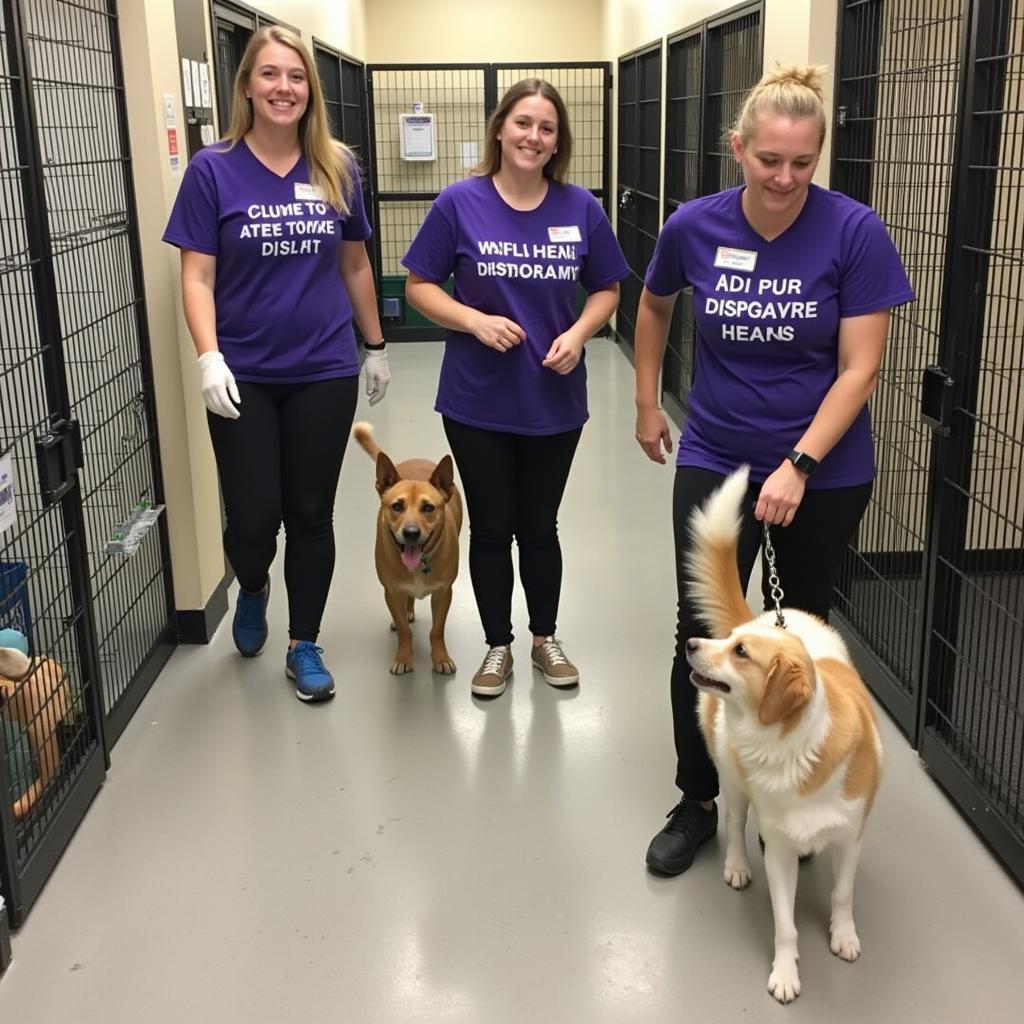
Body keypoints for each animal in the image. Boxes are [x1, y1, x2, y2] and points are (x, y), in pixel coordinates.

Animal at [352, 419, 464, 675]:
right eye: (397, 506)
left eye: (428, 508)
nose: (411, 533)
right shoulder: (391, 591)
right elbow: (405, 630)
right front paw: (403, 656)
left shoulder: (444, 593)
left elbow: (437, 630)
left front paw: (440, 657)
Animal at [684, 468, 884, 1003]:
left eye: (741, 652)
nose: (691, 643)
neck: (793, 745)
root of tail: (769, 613)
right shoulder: (778, 848)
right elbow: (785, 923)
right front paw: (786, 974)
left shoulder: (853, 835)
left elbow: (842, 892)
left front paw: (844, 935)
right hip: (731, 779)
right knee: (733, 821)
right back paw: (735, 864)